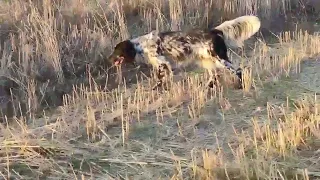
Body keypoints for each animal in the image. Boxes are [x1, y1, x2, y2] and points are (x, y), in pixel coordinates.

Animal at [107, 15, 260, 89]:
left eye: (115, 51)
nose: (108, 59)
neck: (139, 46)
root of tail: (214, 31)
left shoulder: (162, 63)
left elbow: (160, 78)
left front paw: (157, 88)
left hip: (220, 59)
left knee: (238, 70)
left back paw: (241, 86)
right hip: (205, 59)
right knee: (214, 75)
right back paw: (208, 87)